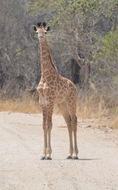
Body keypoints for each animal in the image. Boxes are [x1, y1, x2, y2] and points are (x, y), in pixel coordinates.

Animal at [33, 21, 79, 160]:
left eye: (45, 32)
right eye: (37, 32)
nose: (41, 37)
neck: (45, 76)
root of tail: (74, 86)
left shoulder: (51, 102)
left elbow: (50, 125)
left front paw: (48, 154)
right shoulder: (42, 102)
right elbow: (44, 125)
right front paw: (43, 154)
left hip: (71, 102)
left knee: (74, 121)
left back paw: (76, 154)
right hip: (62, 104)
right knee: (68, 122)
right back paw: (69, 154)